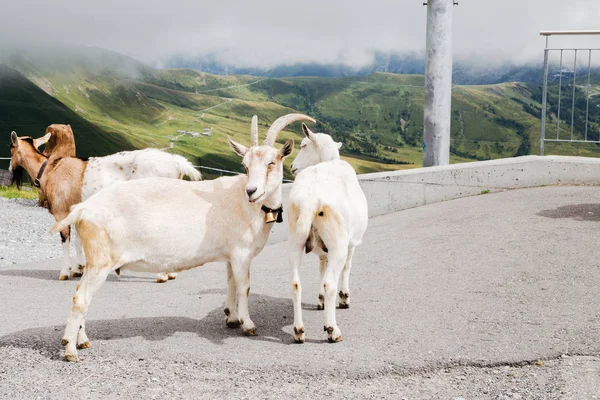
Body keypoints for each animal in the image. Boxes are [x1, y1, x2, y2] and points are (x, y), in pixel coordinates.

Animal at [9, 131, 202, 282]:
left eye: (10, 146)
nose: (10, 168)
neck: (49, 171)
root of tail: (177, 164)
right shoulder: (76, 210)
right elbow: (78, 241)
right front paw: (78, 269)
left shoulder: (61, 212)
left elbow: (66, 240)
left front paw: (64, 272)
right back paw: (171, 274)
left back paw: (162, 276)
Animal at [50, 113, 318, 362]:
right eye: (245, 165)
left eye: (272, 162)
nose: (252, 191)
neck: (248, 206)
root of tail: (83, 209)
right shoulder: (242, 253)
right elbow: (245, 287)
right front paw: (248, 324)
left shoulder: (231, 255)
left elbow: (231, 283)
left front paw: (232, 318)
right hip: (101, 261)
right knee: (81, 298)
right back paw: (71, 350)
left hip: (95, 262)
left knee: (81, 295)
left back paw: (82, 341)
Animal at [288, 124, 368, 344]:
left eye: (304, 145)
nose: (292, 167)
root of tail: (310, 200)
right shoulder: (351, 243)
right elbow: (347, 267)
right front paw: (345, 298)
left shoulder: (323, 251)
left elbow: (321, 269)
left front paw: (320, 300)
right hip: (337, 241)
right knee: (330, 282)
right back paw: (332, 330)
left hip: (296, 238)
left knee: (296, 283)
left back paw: (299, 330)